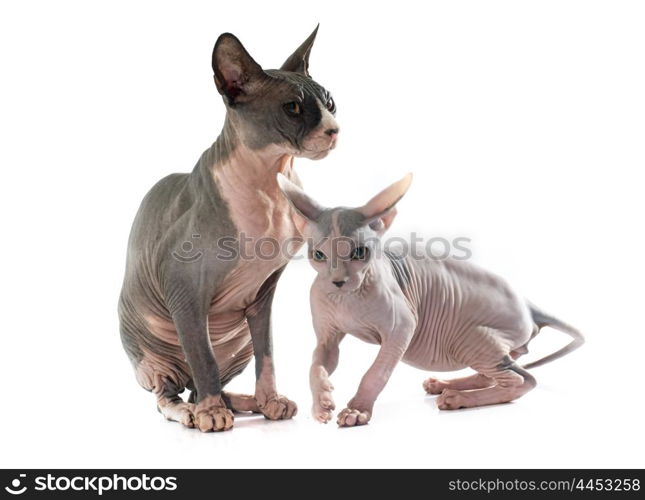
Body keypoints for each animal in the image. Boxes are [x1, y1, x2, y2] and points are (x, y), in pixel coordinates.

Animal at [119, 27, 340, 432]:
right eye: (293, 108)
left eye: (331, 102)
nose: (334, 131)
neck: (270, 182)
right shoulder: (185, 289)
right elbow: (203, 357)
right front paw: (210, 414)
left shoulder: (263, 294)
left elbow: (268, 355)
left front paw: (270, 400)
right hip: (154, 356)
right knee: (171, 393)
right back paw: (196, 411)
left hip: (238, 344)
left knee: (206, 383)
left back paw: (243, 401)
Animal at [276, 174, 584, 428]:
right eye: (318, 255)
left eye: (359, 253)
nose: (337, 281)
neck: (347, 298)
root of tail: (529, 305)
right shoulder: (327, 337)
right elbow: (316, 364)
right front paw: (322, 403)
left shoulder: (402, 328)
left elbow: (377, 372)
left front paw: (358, 411)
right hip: (490, 345)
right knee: (499, 371)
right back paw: (446, 385)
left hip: (470, 337)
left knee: (524, 379)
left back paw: (456, 398)